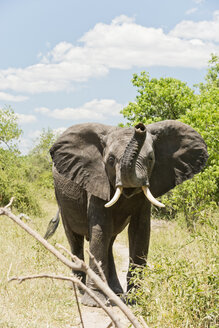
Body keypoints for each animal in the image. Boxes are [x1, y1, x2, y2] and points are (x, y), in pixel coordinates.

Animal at [48, 121, 208, 308]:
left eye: (150, 159)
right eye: (110, 160)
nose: (140, 127)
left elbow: (140, 230)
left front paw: (134, 300)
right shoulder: (95, 180)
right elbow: (100, 229)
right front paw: (95, 302)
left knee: (109, 242)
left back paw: (115, 292)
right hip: (61, 200)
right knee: (76, 240)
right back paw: (81, 288)